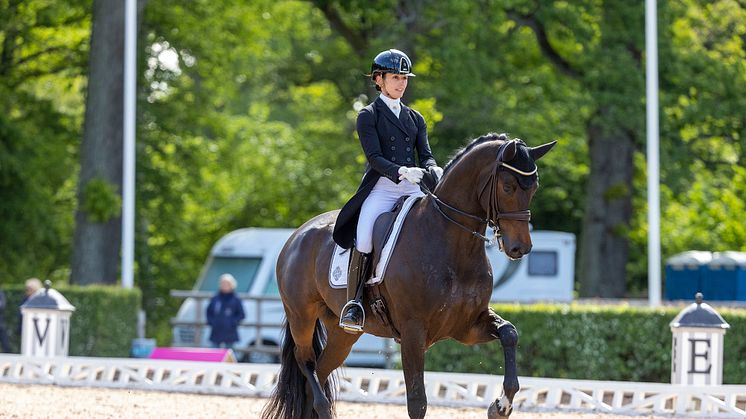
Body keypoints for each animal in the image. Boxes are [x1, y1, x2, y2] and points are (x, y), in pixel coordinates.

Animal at [260, 133, 552, 418]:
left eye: (534, 188)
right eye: (508, 187)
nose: (520, 248)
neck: (451, 242)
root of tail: (297, 235)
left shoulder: (467, 326)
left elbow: (510, 333)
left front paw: (501, 405)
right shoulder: (413, 332)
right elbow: (417, 402)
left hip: (343, 334)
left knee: (317, 377)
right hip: (302, 317)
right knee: (306, 363)